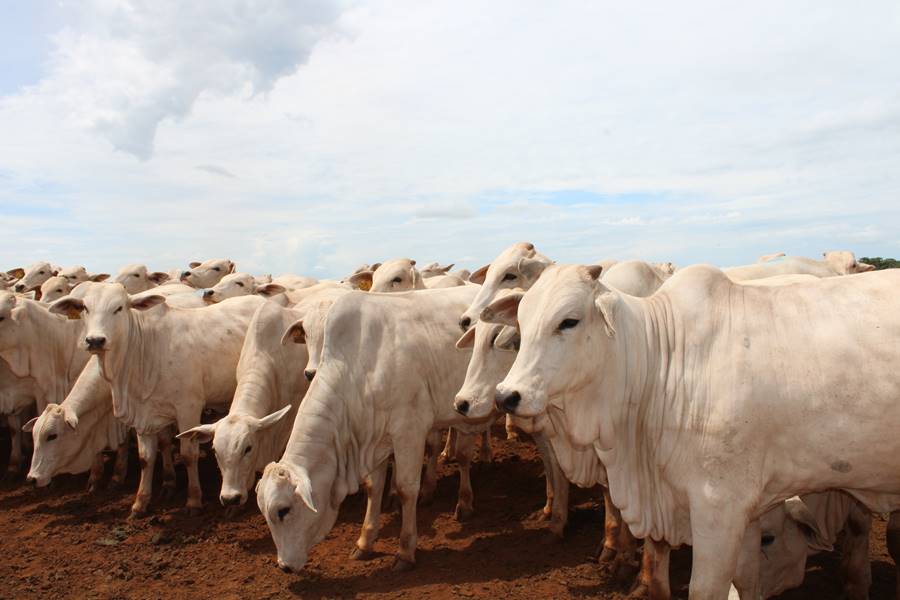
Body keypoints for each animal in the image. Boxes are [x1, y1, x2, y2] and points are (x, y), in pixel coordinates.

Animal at [48, 284, 265, 516]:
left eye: (119, 308)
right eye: (85, 308)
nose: (95, 340)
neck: (145, 351)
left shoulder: (188, 408)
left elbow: (188, 454)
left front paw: (193, 500)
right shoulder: (144, 415)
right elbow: (146, 457)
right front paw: (140, 503)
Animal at [257, 286, 491, 573]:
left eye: (283, 510)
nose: (284, 566)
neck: (360, 369)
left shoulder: (409, 432)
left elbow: (406, 489)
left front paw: (405, 551)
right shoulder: (373, 438)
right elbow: (374, 487)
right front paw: (365, 542)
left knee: (464, 457)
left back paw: (466, 502)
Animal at [491, 264, 900, 599]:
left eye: (569, 321)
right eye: (522, 324)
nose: (507, 396)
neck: (660, 365)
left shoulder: (719, 506)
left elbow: (710, 587)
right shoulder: (747, 512)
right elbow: (744, 579)